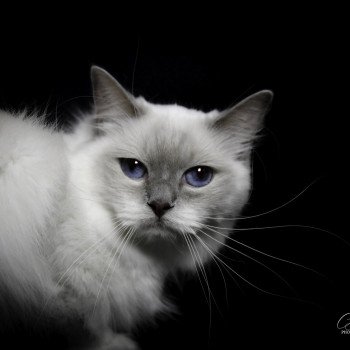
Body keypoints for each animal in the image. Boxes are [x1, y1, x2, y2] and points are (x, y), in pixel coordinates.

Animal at [0, 66, 274, 350]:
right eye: (133, 168)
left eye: (199, 176)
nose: (160, 205)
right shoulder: (64, 293)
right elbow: (85, 326)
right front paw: (113, 344)